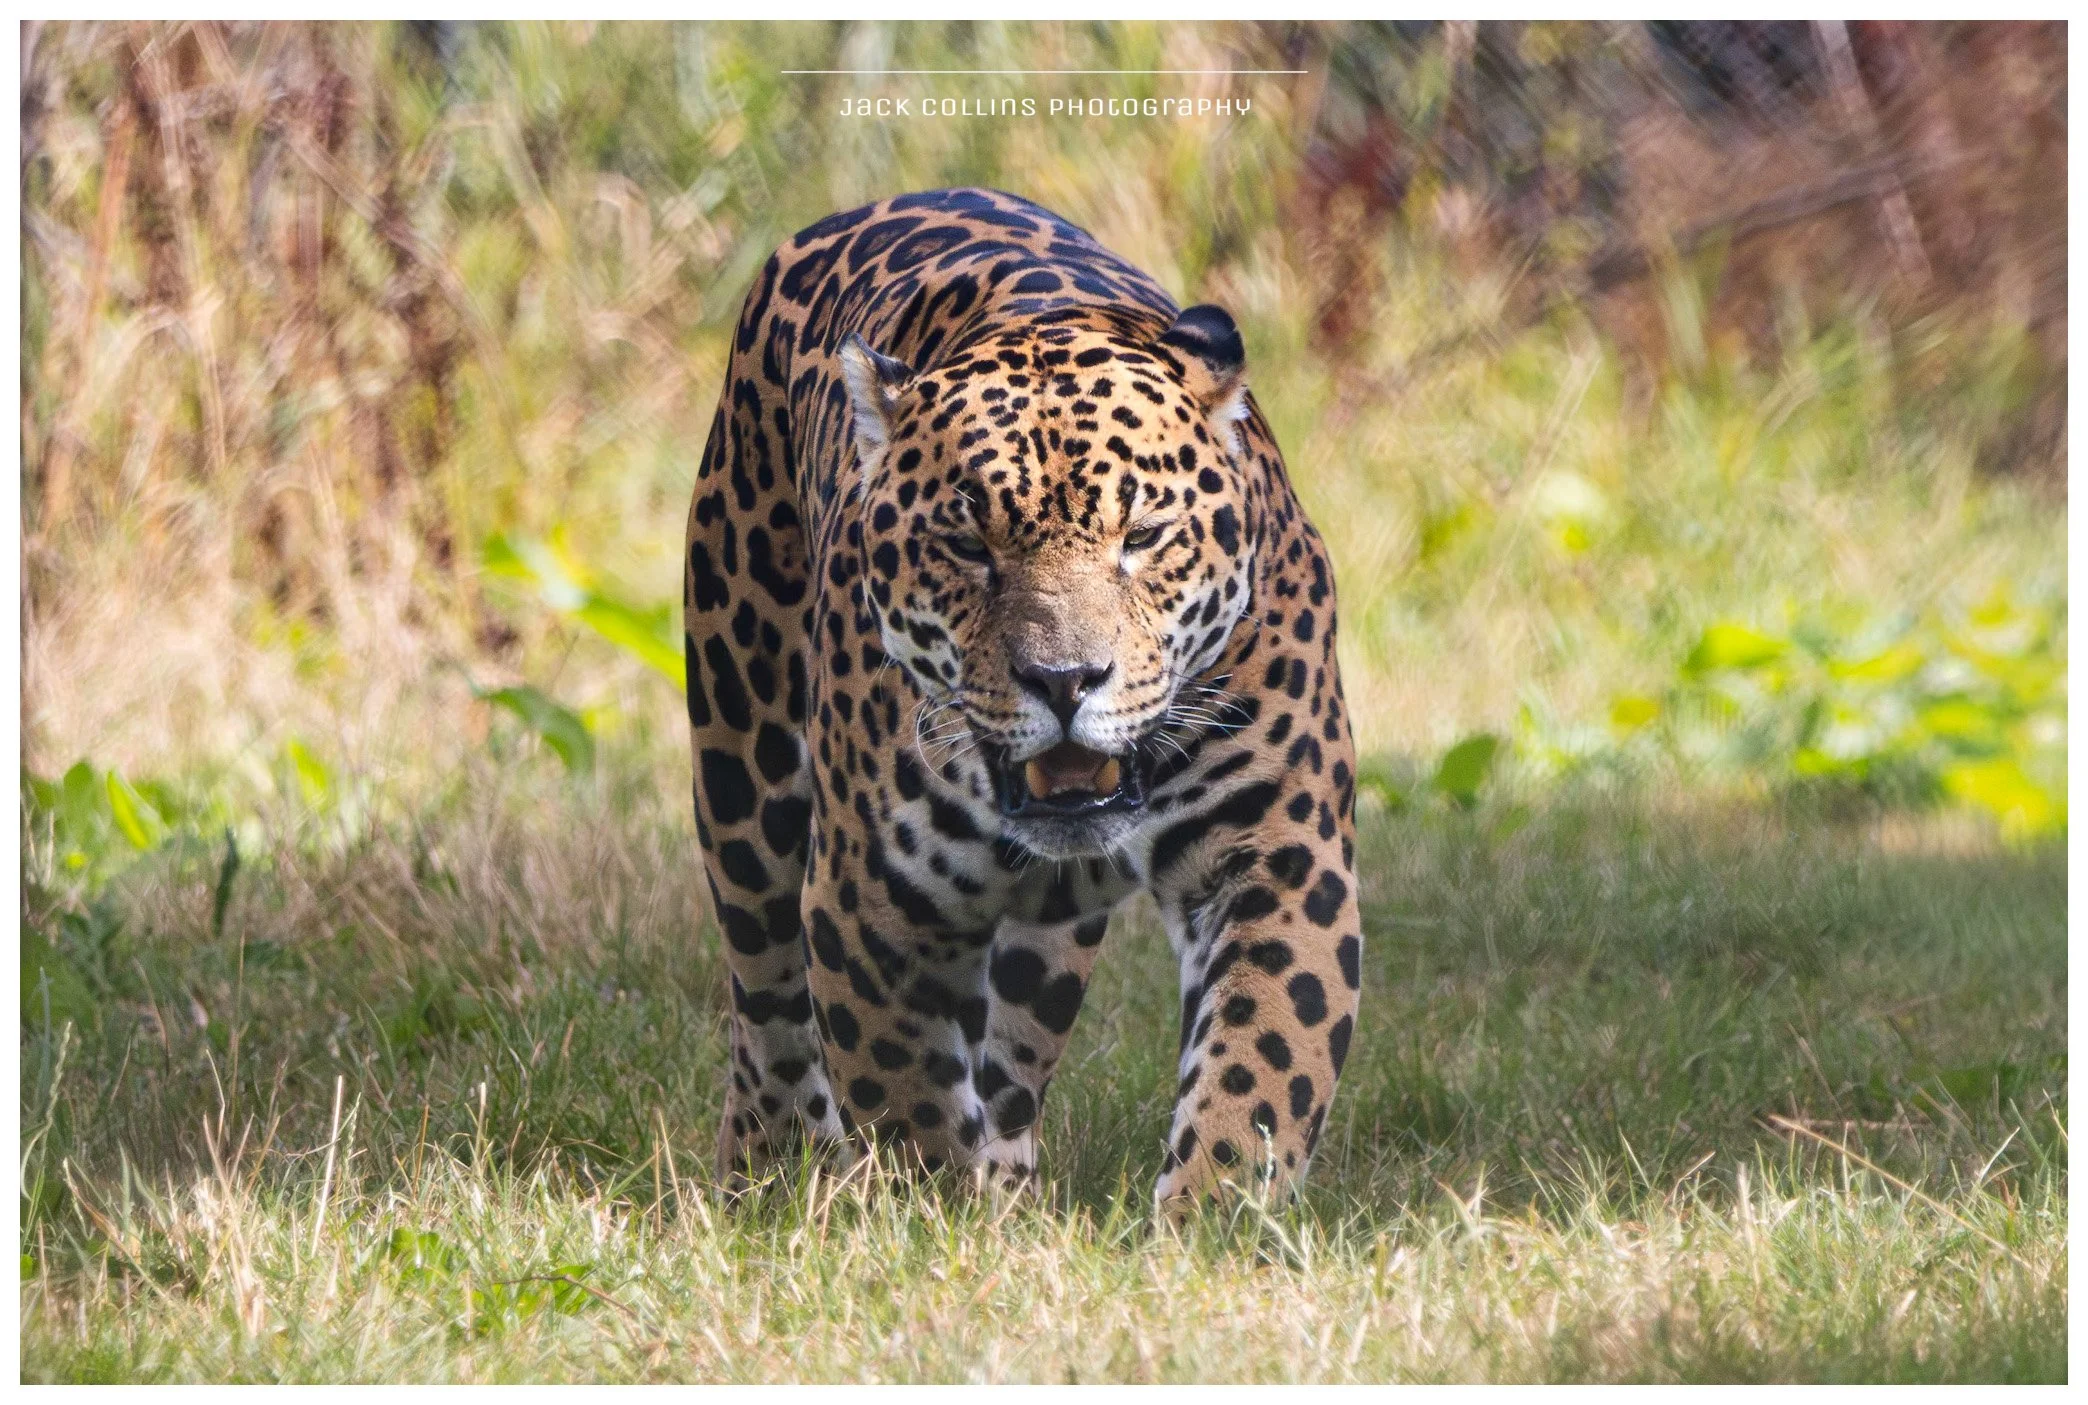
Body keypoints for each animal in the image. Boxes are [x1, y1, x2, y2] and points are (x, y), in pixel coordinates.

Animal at [684, 187, 1361, 1214]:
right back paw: (769, 1170)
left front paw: (1212, 1221)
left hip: (1047, 943)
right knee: (765, 1000)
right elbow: (902, 1091)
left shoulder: (1277, 849)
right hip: (742, 769)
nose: (1066, 679)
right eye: (969, 545)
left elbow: (1260, 1067)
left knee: (1010, 1060)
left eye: (1143, 535)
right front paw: (936, 1219)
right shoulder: (872, 896)